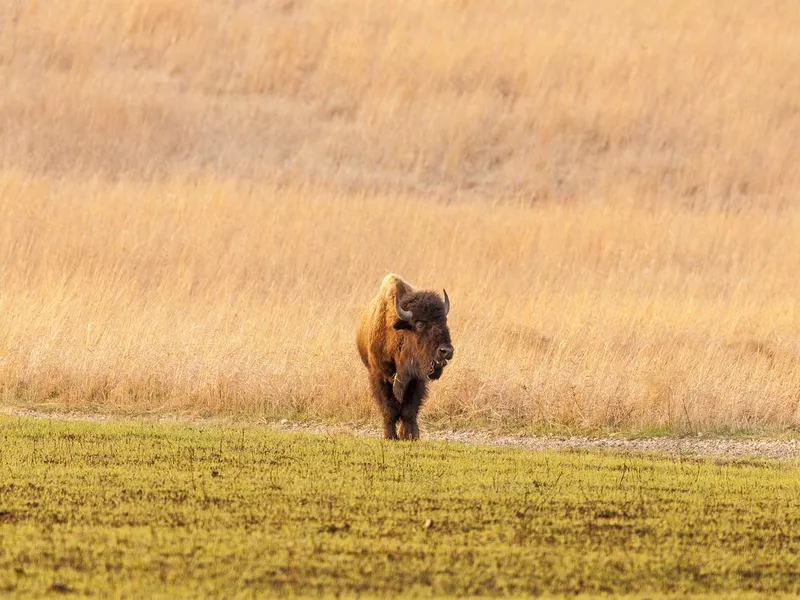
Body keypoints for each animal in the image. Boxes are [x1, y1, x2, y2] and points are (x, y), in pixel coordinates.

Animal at [358, 274, 456, 438]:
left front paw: (410, 435)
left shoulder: (416, 380)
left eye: (444, 321)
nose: (446, 351)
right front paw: (390, 436)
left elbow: (409, 410)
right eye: (419, 324)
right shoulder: (380, 376)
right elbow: (389, 408)